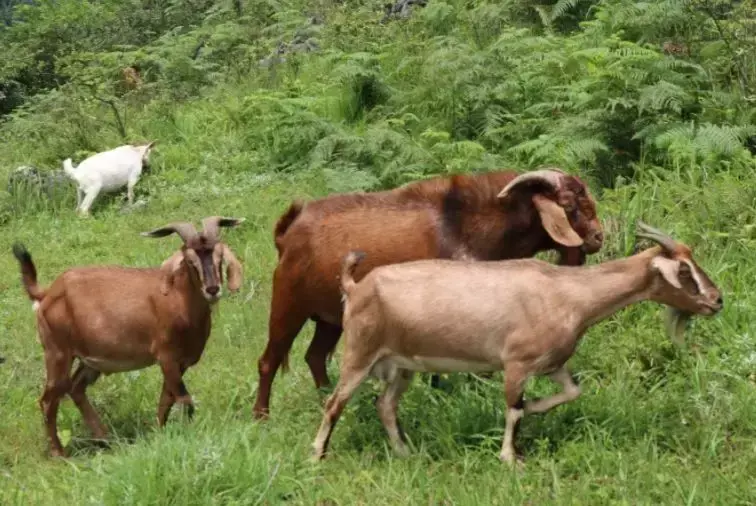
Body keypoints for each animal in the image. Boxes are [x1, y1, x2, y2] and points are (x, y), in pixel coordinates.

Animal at [11, 215, 244, 456]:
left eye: (219, 256)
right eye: (190, 260)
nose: (213, 289)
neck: (178, 299)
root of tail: (48, 293)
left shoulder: (181, 362)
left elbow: (166, 400)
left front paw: (160, 434)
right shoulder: (166, 356)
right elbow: (184, 400)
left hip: (90, 359)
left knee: (76, 388)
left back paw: (105, 438)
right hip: (57, 352)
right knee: (48, 400)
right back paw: (60, 454)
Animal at [252, 168, 604, 418]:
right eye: (569, 205)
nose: (598, 237)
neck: (470, 225)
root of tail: (288, 230)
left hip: (330, 317)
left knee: (314, 356)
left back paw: (325, 396)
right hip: (288, 302)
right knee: (269, 361)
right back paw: (261, 416)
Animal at [312, 223, 720, 464]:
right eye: (684, 270)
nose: (717, 301)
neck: (568, 293)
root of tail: (355, 286)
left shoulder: (554, 364)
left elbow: (571, 392)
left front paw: (538, 407)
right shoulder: (516, 363)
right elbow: (513, 409)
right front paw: (510, 458)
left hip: (401, 366)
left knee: (385, 405)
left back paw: (405, 453)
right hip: (360, 353)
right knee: (334, 403)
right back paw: (317, 455)